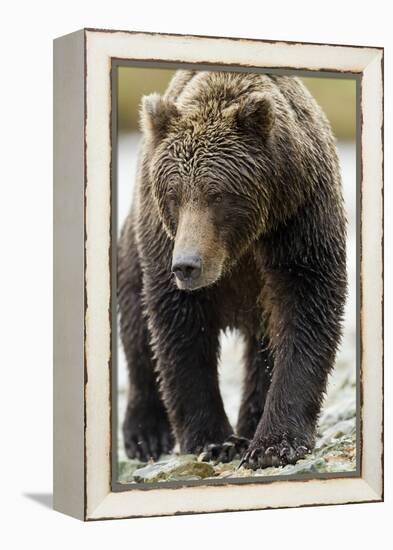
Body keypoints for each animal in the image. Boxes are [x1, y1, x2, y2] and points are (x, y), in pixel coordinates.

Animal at [117, 71, 346, 472]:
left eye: (217, 193)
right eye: (173, 195)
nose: (187, 265)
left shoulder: (299, 220)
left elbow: (306, 312)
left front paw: (274, 444)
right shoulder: (163, 243)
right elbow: (181, 331)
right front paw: (214, 440)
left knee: (263, 350)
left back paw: (251, 423)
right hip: (132, 250)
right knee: (138, 334)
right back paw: (146, 435)